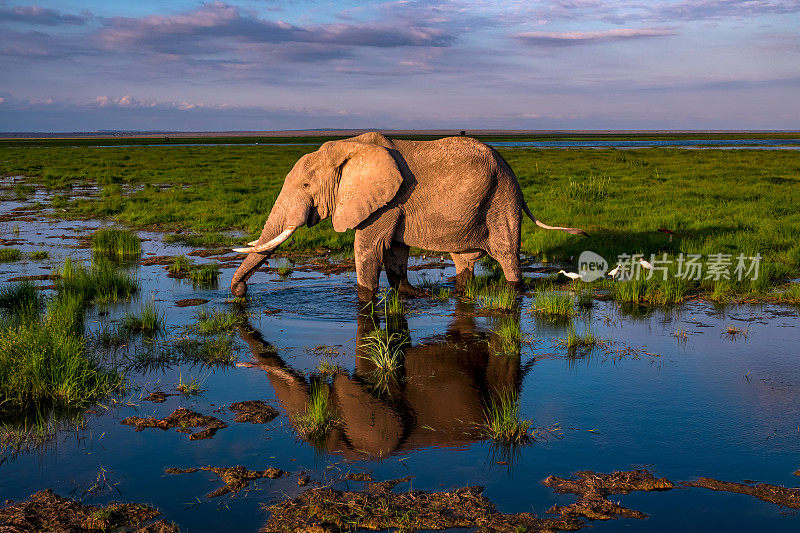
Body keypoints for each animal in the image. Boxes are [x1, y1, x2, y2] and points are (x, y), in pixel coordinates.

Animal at [231, 132, 588, 300]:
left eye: (306, 185)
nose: (240, 292)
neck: (348, 148)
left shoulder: (386, 201)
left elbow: (367, 247)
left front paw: (364, 302)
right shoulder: (394, 204)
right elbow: (395, 249)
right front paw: (411, 295)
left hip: (502, 198)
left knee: (506, 253)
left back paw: (514, 291)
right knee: (462, 258)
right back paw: (458, 290)